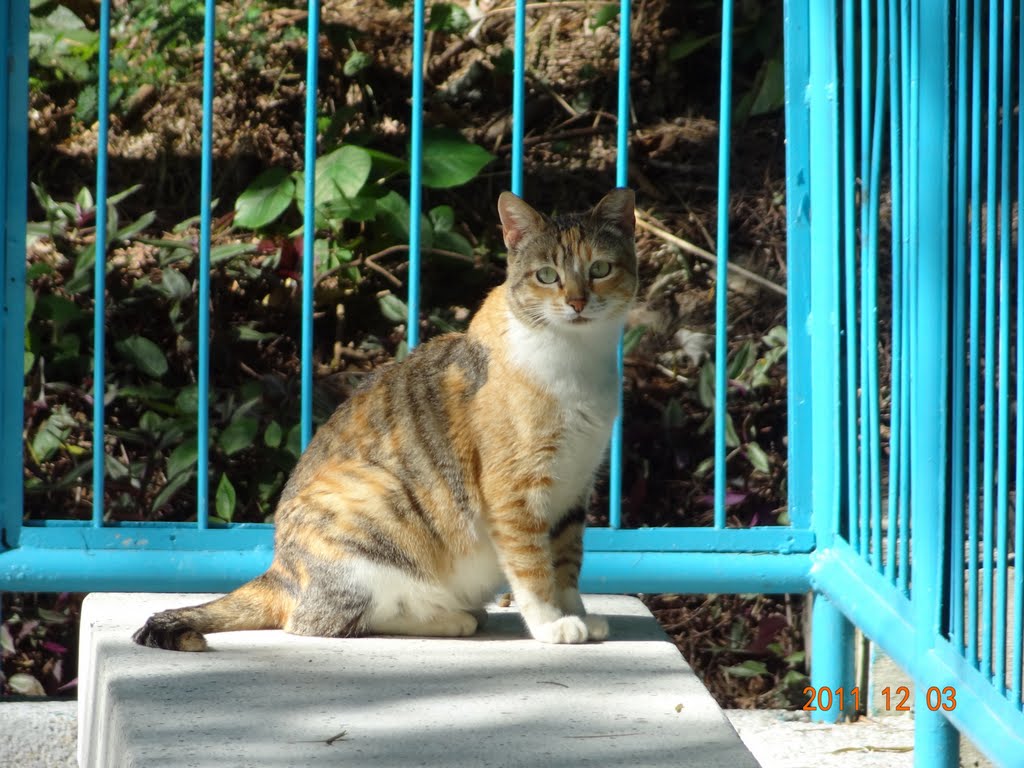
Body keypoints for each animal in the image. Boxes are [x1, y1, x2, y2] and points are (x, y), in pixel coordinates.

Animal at [132, 186, 634, 651]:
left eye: (600, 270)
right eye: (547, 276)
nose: (577, 303)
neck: (575, 361)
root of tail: (280, 573)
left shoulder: (575, 486)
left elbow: (566, 559)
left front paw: (576, 613)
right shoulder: (513, 490)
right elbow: (532, 564)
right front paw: (551, 623)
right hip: (376, 502)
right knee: (324, 621)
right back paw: (449, 618)